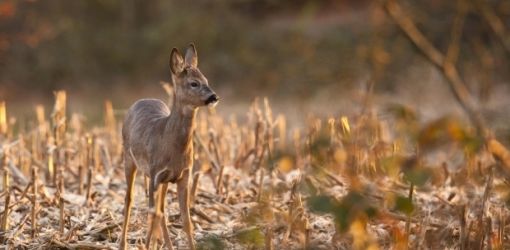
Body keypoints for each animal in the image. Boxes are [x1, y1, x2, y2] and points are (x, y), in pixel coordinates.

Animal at [120, 44, 218, 249]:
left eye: (206, 79)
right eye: (193, 83)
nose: (214, 96)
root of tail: (140, 100)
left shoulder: (184, 175)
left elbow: (186, 219)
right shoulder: (155, 174)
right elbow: (152, 214)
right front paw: (147, 245)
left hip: (163, 180)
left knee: (162, 208)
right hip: (128, 158)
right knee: (129, 199)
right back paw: (122, 244)